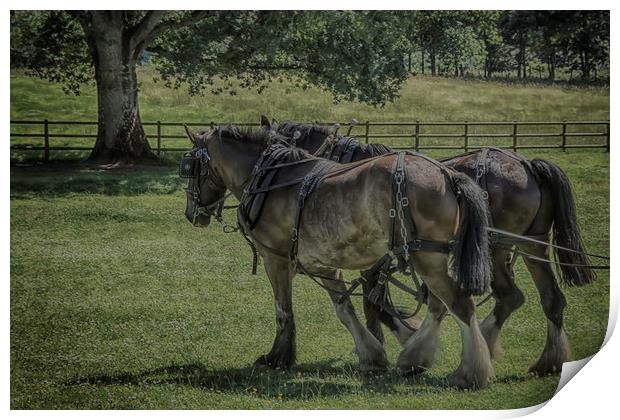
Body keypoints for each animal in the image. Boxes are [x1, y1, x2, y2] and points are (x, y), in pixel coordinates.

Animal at [182, 124, 496, 390]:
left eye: (189, 168)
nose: (191, 214)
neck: (270, 180)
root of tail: (447, 175)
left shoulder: (276, 260)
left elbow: (284, 311)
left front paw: (278, 358)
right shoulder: (324, 264)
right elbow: (345, 310)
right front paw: (372, 356)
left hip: (426, 258)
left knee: (459, 305)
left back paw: (469, 373)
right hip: (431, 257)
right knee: (438, 305)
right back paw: (413, 358)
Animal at [266, 119, 596, 378]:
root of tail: (528, 165)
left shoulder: (374, 260)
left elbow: (375, 303)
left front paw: (390, 343)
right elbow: (378, 303)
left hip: (498, 249)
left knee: (506, 296)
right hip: (531, 245)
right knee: (546, 299)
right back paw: (544, 360)